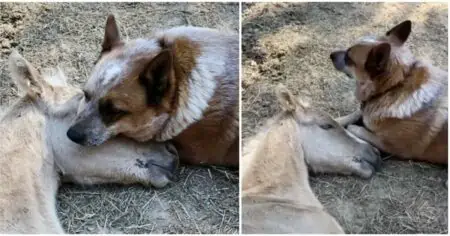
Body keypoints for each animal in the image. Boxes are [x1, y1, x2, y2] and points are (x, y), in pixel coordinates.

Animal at [328, 20, 448, 164]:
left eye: (348, 58)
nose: (331, 55)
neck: (394, 86)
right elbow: (355, 114)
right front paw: (336, 120)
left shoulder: (392, 146)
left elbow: (357, 129)